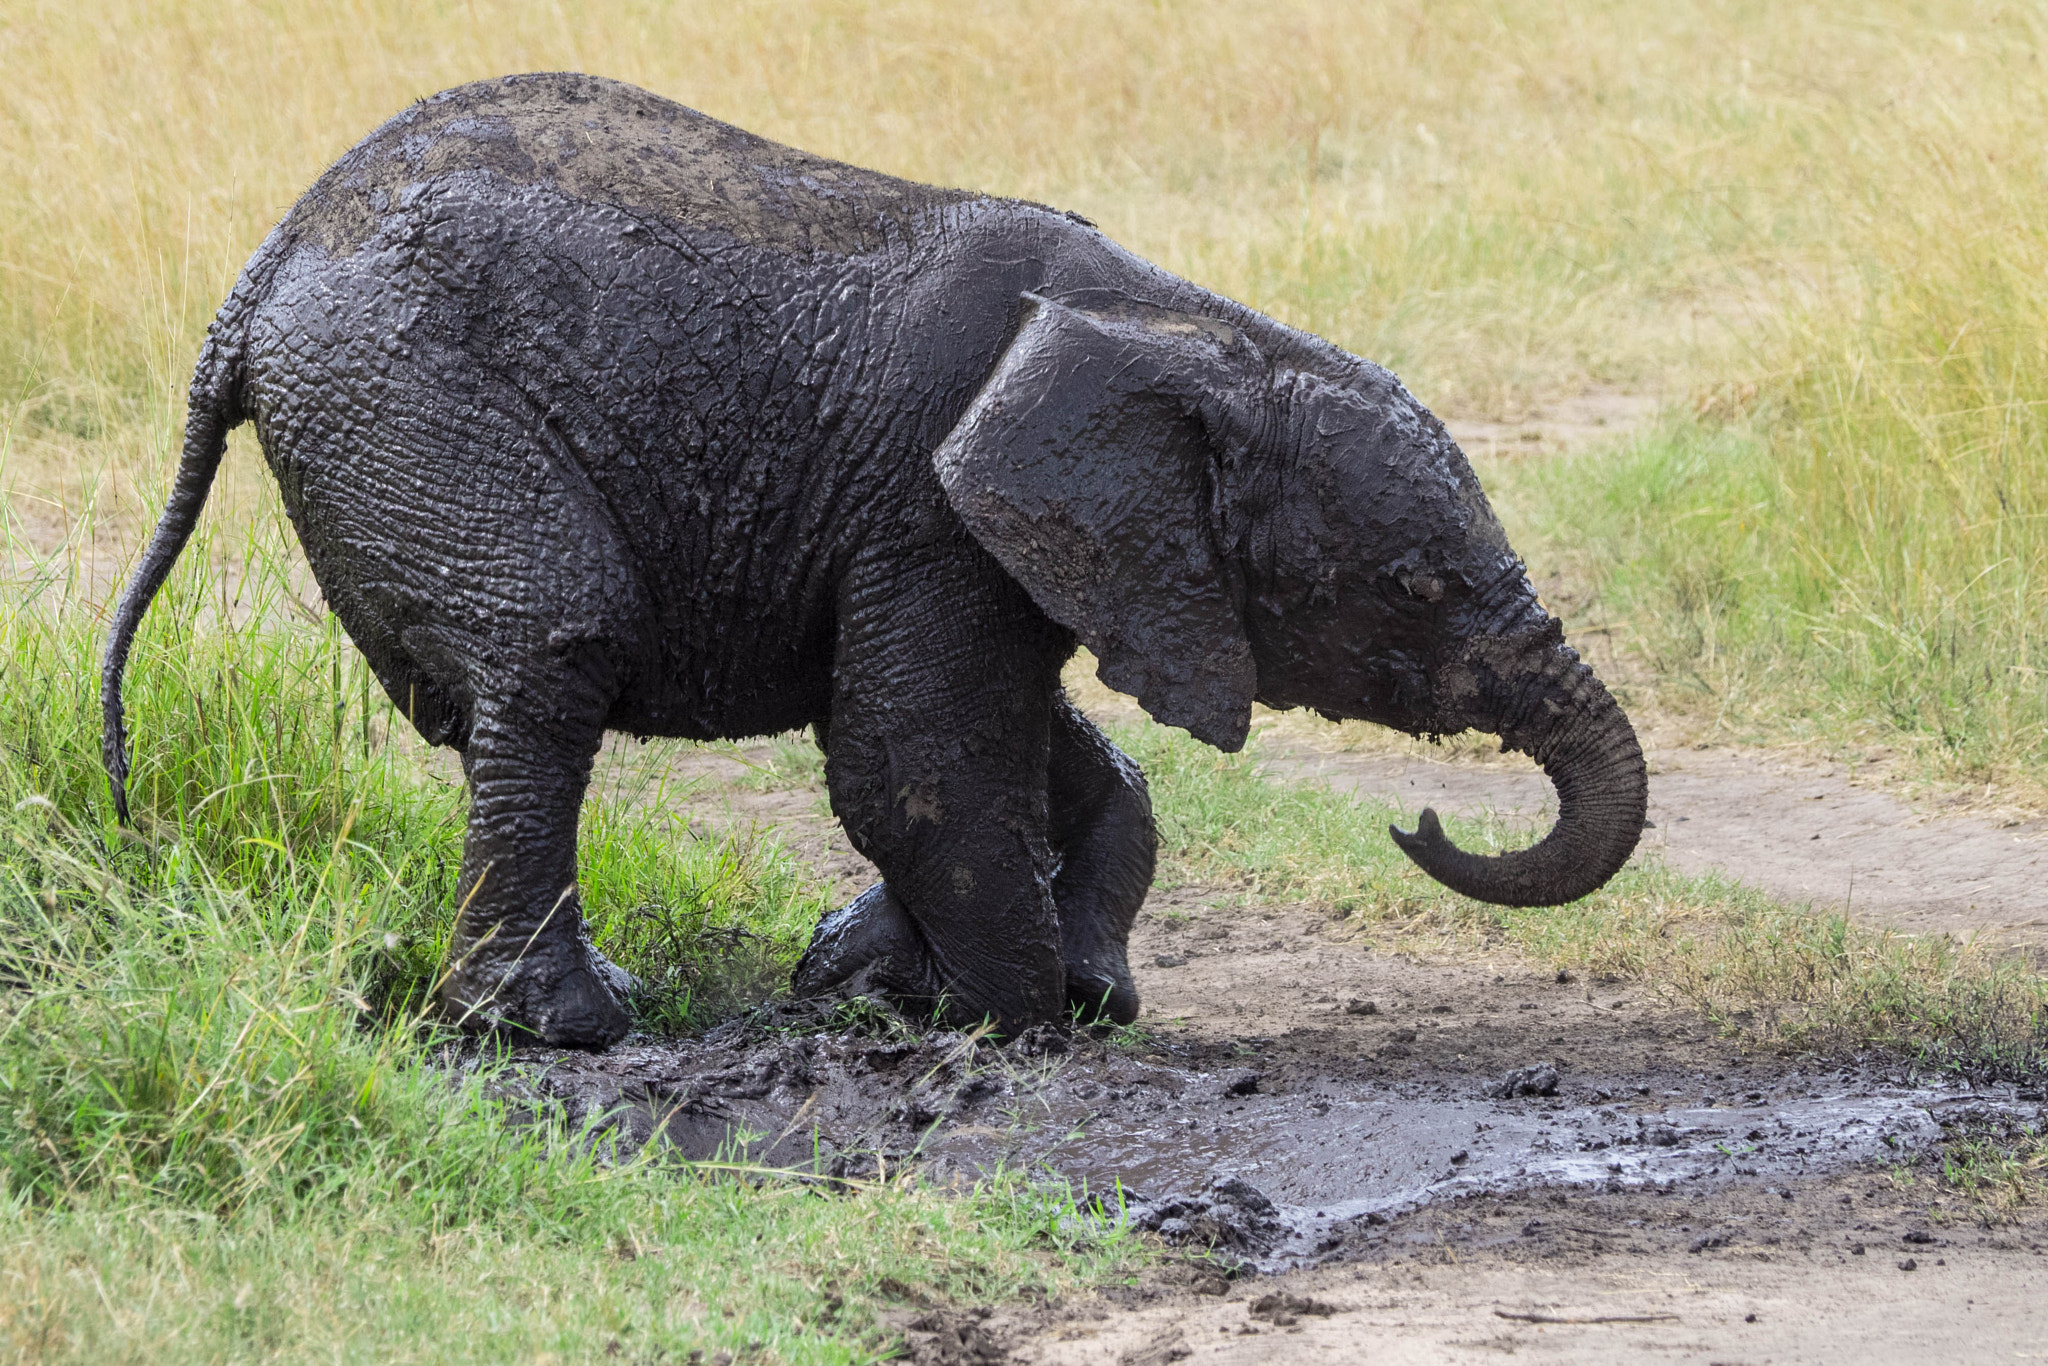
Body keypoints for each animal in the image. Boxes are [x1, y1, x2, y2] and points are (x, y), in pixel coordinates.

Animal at [102, 73, 1647, 1050]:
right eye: (1415, 590)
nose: (1424, 824)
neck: (1186, 326)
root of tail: (259, 275)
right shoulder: (928, 505)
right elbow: (918, 759)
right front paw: (1008, 1025)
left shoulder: (1004, 536)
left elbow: (1035, 749)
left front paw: (918, 984)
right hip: (402, 395)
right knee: (552, 650)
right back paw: (568, 1030)